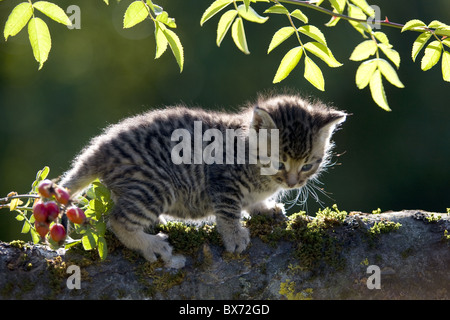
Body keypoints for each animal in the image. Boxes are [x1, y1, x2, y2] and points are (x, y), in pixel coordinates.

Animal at [59, 94, 346, 268]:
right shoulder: (224, 179)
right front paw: (234, 237)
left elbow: (252, 203)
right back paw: (151, 245)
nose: (293, 182)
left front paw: (265, 208)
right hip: (157, 184)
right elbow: (229, 211)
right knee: (117, 220)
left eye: (307, 165)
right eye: (279, 163)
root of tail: (101, 146)